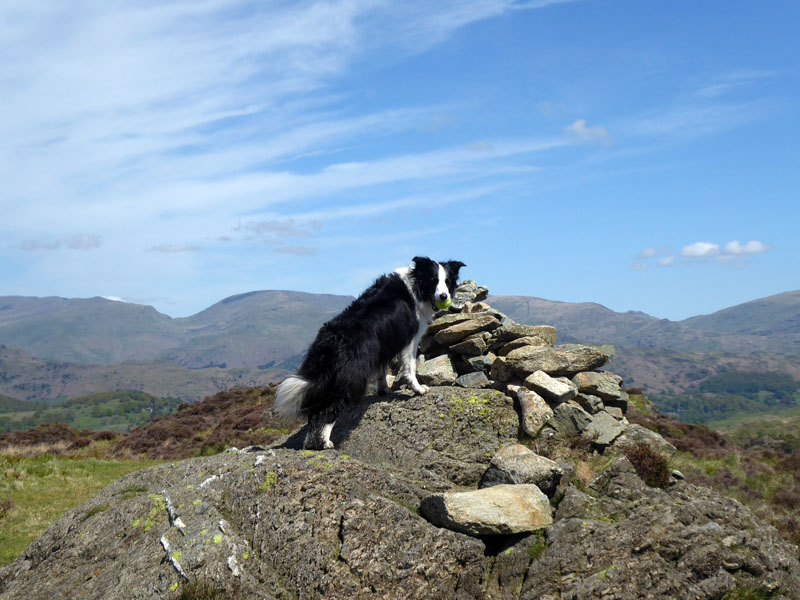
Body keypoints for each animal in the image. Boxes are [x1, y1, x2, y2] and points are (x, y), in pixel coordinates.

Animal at [276, 255, 466, 448]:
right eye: (433, 280)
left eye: (447, 281)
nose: (444, 296)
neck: (416, 287)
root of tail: (328, 342)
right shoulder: (410, 339)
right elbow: (410, 367)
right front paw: (418, 389)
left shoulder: (383, 344)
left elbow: (381, 370)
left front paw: (383, 390)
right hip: (352, 377)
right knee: (330, 409)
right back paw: (325, 443)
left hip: (329, 378)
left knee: (314, 411)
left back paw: (308, 444)